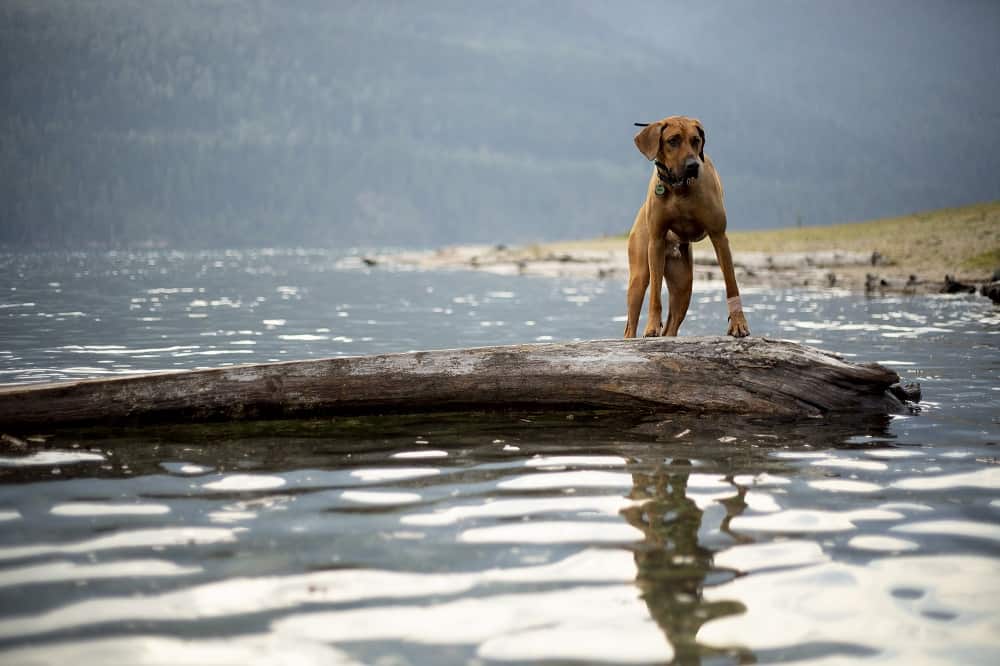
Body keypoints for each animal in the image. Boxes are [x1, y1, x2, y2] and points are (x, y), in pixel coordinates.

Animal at [624, 115, 752, 340]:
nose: (693, 165)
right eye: (672, 140)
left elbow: (732, 284)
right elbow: (655, 294)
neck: (679, 187)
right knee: (630, 326)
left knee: (671, 327)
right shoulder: (656, 240)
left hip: (684, 283)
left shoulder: (719, 236)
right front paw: (651, 327)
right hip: (639, 274)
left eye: (696, 140)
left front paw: (738, 324)